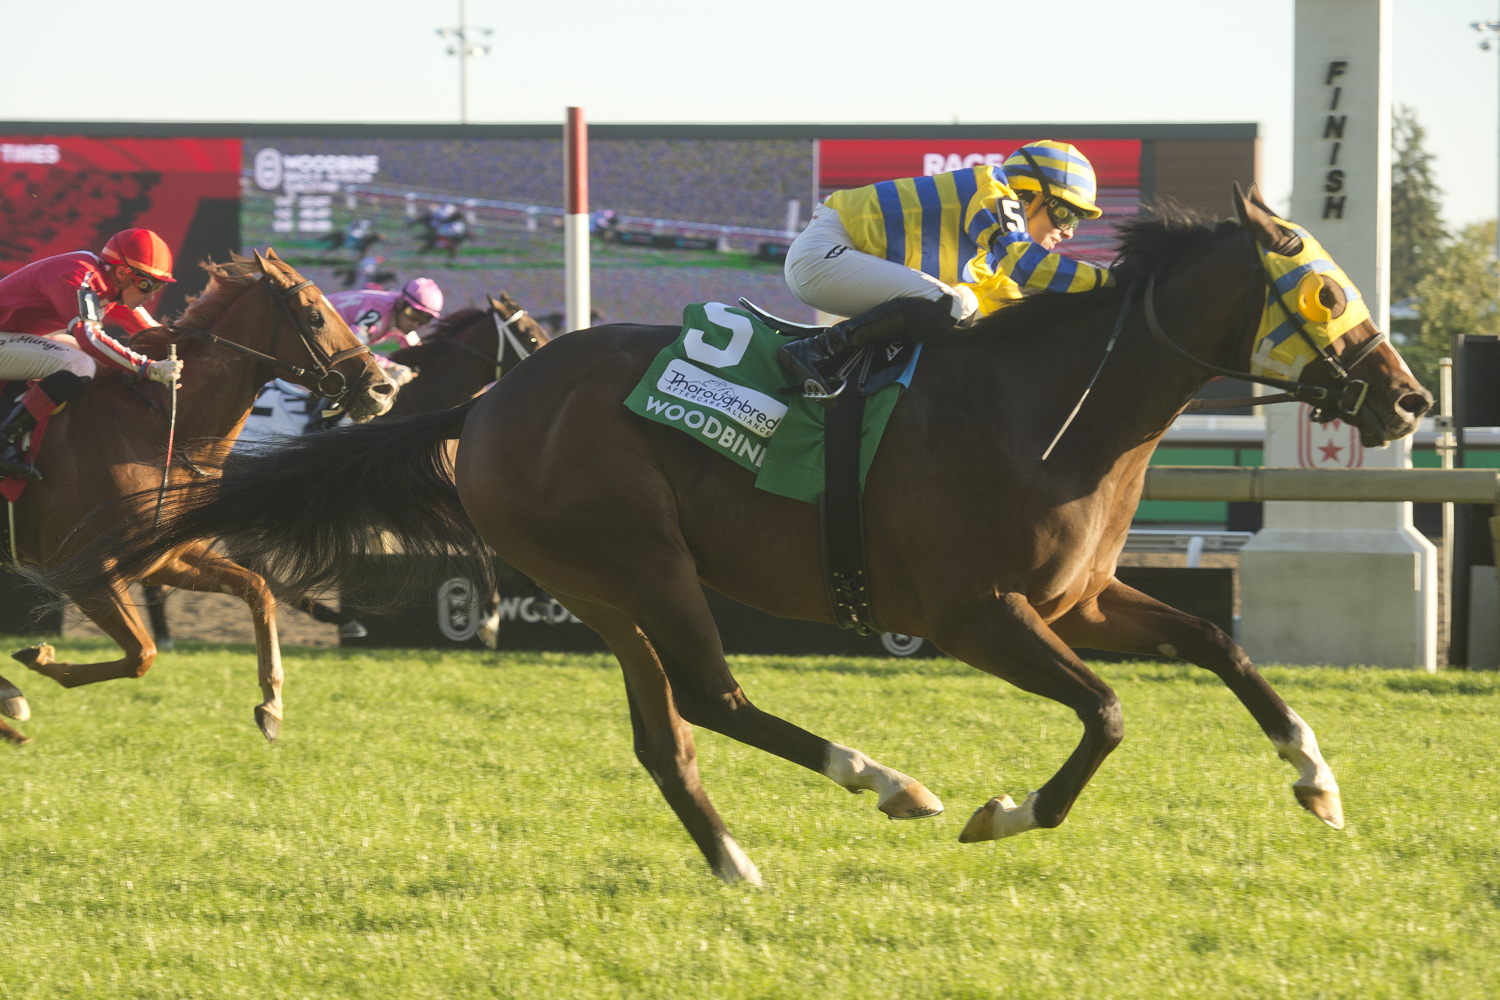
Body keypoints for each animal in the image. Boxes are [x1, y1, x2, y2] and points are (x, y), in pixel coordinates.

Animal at [0, 254, 393, 746]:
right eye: (316, 316)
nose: (382, 388)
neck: (158, 430)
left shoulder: (166, 556)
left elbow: (257, 588)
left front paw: (272, 705)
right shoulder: (85, 572)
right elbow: (143, 654)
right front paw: (35, 664)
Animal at [41, 189, 1434, 881]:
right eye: (1324, 289)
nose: (1410, 398)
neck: (1051, 403)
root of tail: (487, 401)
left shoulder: (1079, 598)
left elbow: (1220, 645)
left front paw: (1317, 777)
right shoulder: (971, 613)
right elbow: (1107, 713)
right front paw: (1002, 812)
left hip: (601, 587)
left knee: (668, 732)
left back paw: (735, 862)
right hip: (639, 559)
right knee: (714, 695)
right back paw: (890, 781)